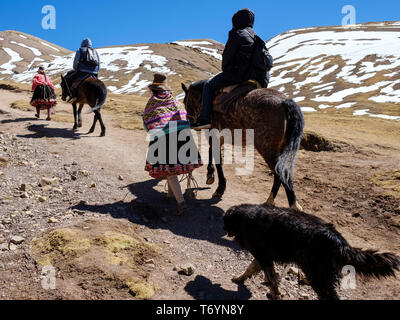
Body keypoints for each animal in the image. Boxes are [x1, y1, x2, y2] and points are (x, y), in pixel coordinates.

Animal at [181, 80, 304, 210]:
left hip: (267, 149)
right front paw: (210, 175)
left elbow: (218, 160)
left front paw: (219, 188)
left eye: (185, 101)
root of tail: (284, 102)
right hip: (279, 149)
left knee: (281, 172)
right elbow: (212, 153)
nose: (190, 121)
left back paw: (294, 206)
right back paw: (270, 201)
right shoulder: (217, 138)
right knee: (278, 175)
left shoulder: (213, 135)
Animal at [223, 205, 398, 300]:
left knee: (330, 296)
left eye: (226, 223)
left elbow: (269, 279)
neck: (242, 217)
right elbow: (254, 270)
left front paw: (274, 294)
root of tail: (340, 241)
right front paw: (241, 279)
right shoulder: (264, 256)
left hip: (317, 276)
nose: (224, 230)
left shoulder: (263, 256)